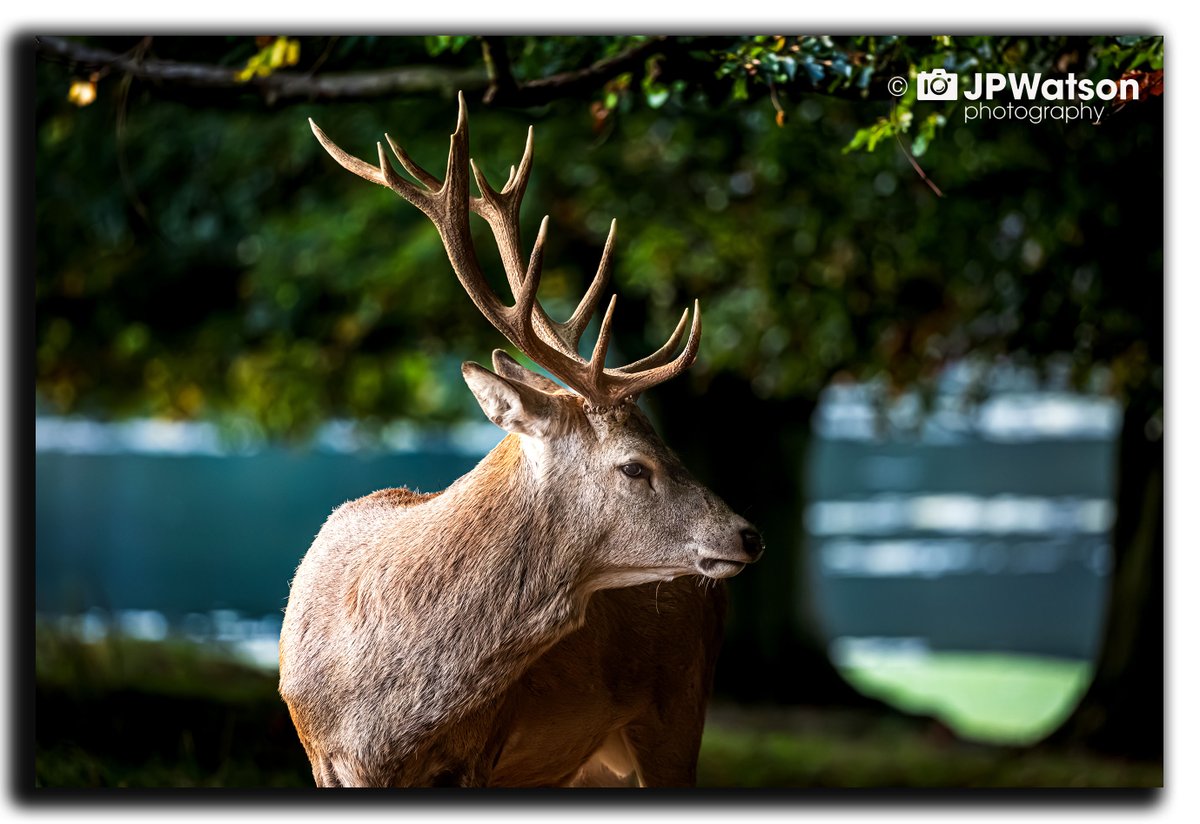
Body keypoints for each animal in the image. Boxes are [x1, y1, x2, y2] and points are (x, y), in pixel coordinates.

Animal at [278, 93, 763, 788]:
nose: (748, 534)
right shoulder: (320, 754)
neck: (380, 712)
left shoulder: (480, 752)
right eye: (634, 466)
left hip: (678, 715)